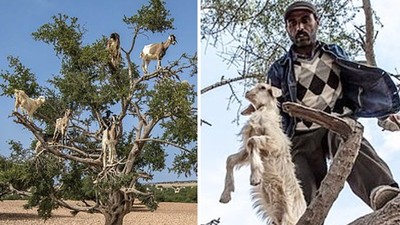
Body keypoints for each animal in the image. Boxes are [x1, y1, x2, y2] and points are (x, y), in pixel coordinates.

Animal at [219, 83, 306, 225]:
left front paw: (255, 178)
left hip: (289, 216)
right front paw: (225, 195)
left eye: (263, 87)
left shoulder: (275, 143)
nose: (247, 93)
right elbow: (230, 159)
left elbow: (253, 141)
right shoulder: (247, 150)